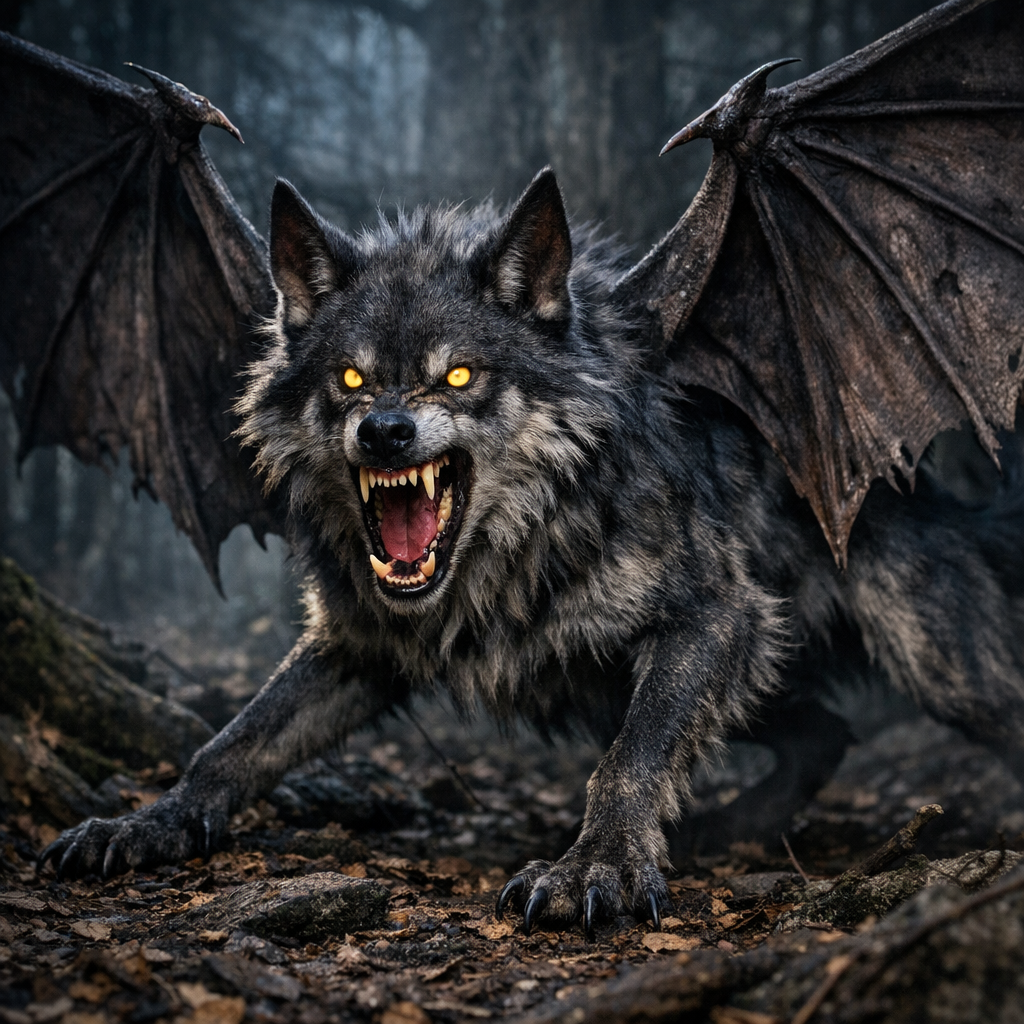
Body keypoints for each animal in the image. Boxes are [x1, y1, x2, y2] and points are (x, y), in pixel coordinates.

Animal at [38, 167, 1024, 936]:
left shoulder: (717, 615)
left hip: (934, 668)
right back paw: (734, 826)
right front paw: (149, 822)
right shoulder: (355, 645)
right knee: (826, 731)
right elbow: (232, 744)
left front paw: (597, 867)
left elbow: (631, 760)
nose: (385, 432)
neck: (507, 554)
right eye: (350, 379)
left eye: (459, 375)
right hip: (672, 684)